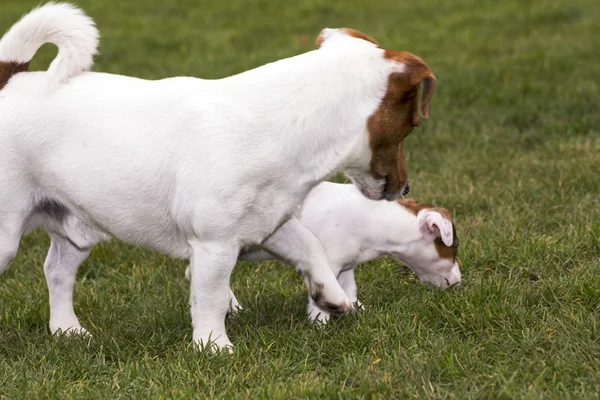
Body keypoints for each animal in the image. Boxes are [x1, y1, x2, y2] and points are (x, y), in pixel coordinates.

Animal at [0, 3, 436, 350]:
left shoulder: (269, 224)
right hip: (7, 234)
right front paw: (213, 347)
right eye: (411, 126)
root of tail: (11, 78)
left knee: (57, 271)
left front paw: (329, 294)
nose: (406, 188)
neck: (278, 124)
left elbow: (311, 246)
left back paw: (68, 331)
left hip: (76, 229)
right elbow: (210, 298)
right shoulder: (214, 244)